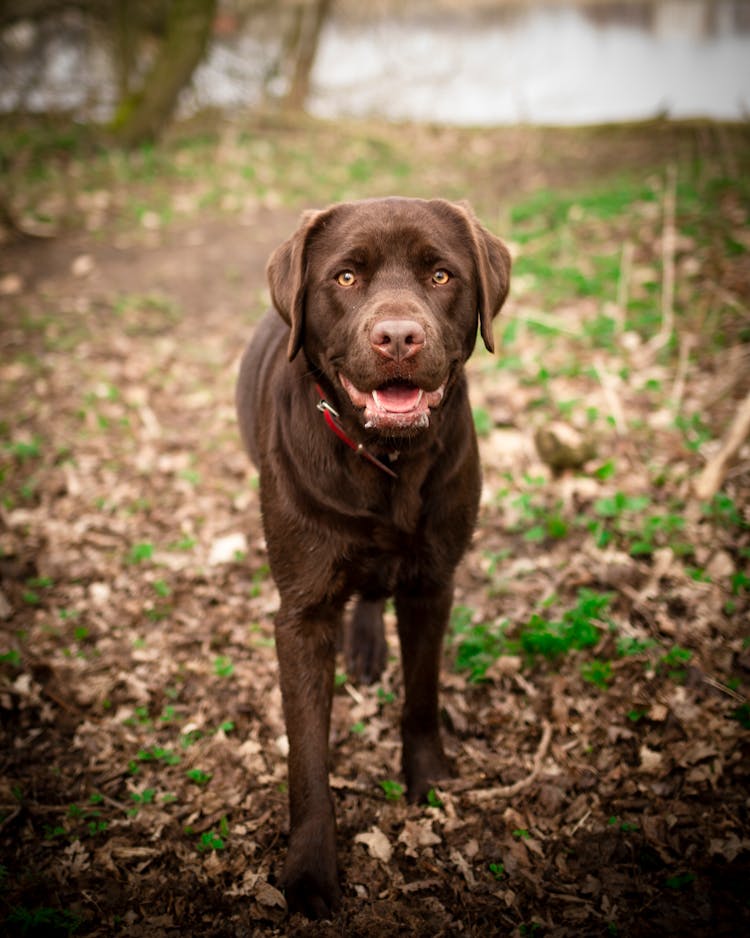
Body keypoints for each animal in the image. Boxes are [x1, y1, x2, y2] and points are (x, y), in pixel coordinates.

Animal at [238, 197, 516, 916]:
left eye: (441, 275)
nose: (397, 337)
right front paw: (310, 871)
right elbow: (307, 754)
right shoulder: (302, 613)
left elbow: (421, 696)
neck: (384, 458)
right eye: (345, 277)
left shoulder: (432, 583)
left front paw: (430, 781)